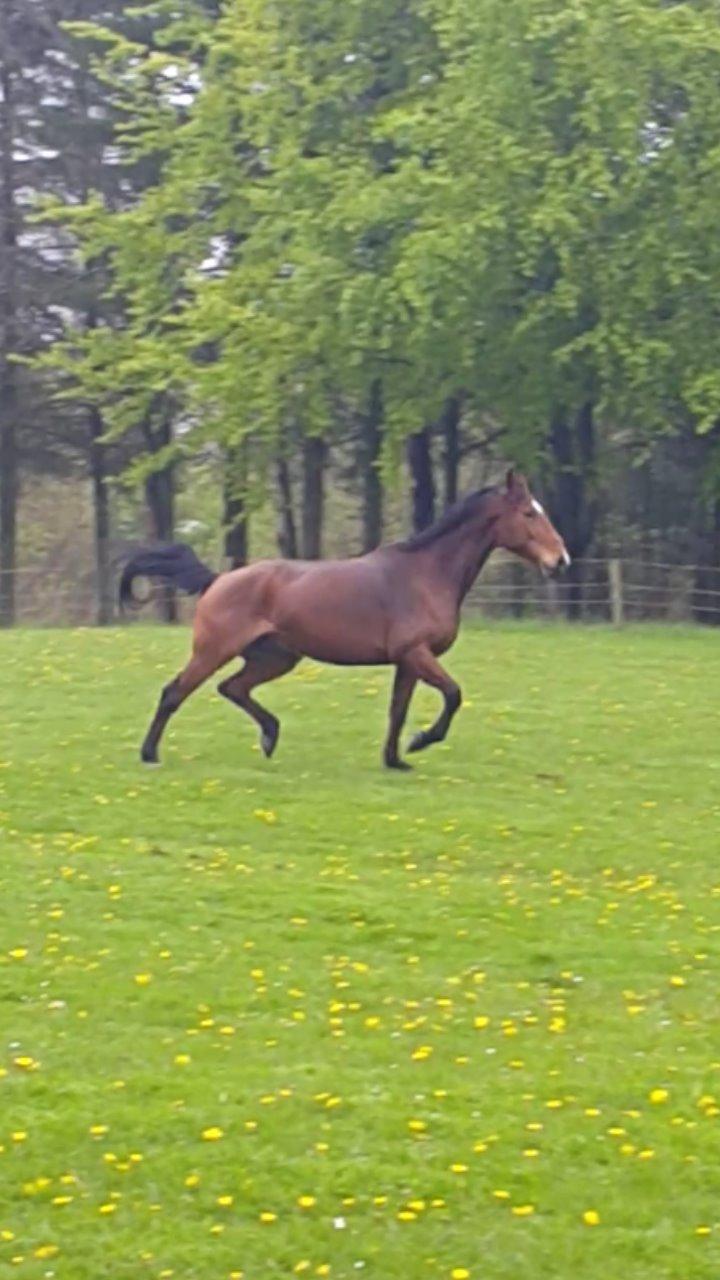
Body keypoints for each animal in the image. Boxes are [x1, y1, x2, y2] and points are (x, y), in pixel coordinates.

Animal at [119, 471, 566, 768]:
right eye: (529, 514)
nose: (560, 561)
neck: (425, 574)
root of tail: (218, 579)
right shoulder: (416, 653)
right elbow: (453, 694)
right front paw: (421, 741)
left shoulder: (407, 661)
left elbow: (397, 710)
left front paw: (395, 760)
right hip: (214, 650)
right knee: (174, 692)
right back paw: (150, 754)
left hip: (276, 657)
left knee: (233, 688)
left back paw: (270, 735)